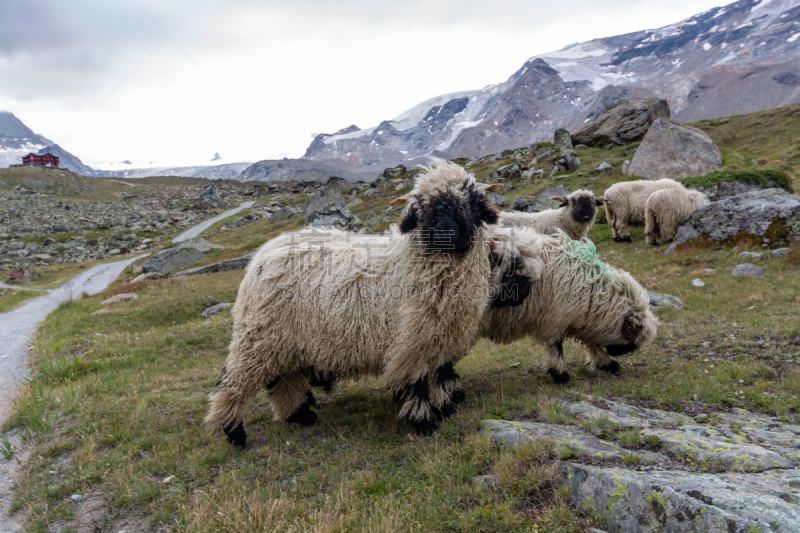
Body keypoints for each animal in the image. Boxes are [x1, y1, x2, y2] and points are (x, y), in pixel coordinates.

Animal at [206, 160, 506, 442]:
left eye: (470, 200)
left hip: (287, 341)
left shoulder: (441, 339)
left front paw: (446, 409)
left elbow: (439, 377)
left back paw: (300, 416)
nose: (445, 231)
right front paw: (424, 422)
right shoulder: (412, 341)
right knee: (233, 382)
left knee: (284, 379)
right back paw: (233, 431)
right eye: (421, 205)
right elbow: (418, 383)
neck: (411, 264)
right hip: (258, 337)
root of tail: (260, 257)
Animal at [478, 228, 660, 382]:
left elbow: (590, 342)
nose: (616, 352)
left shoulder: (574, 318)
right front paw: (560, 374)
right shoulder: (555, 318)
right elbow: (556, 346)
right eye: (632, 343)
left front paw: (606, 363)